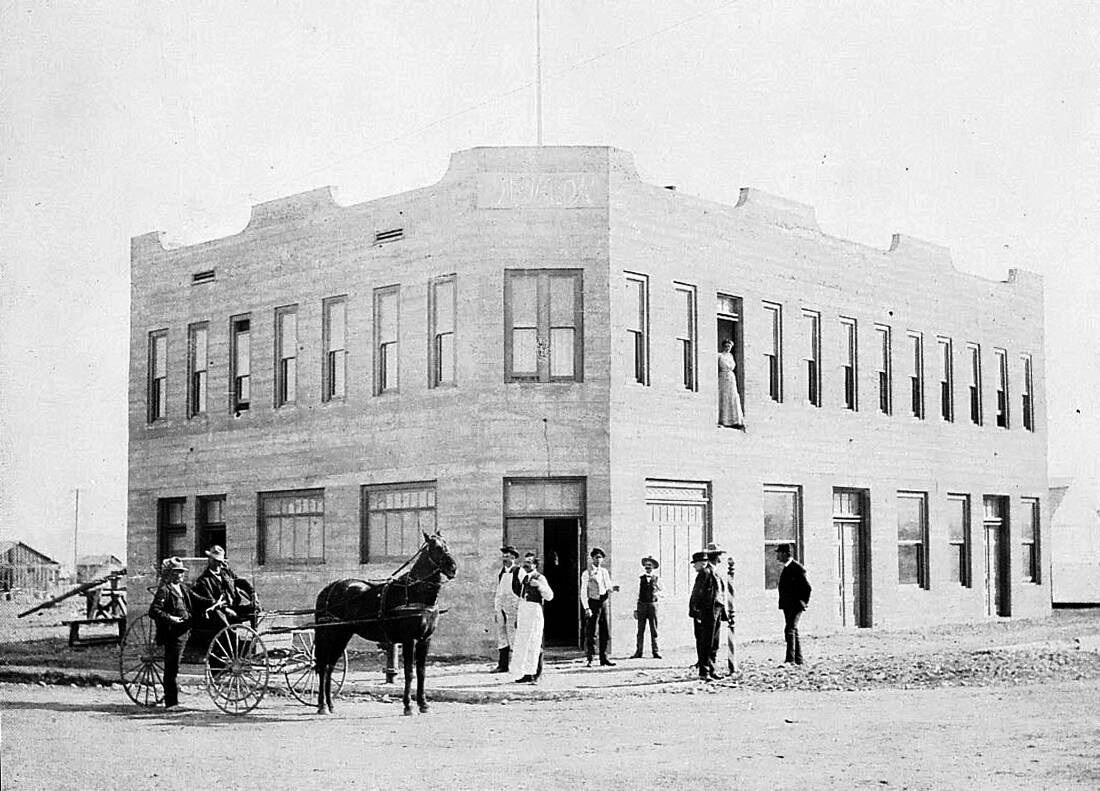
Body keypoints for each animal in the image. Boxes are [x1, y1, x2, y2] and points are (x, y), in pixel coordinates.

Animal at [314, 532, 455, 717]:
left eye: (447, 545)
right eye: (436, 547)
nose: (453, 568)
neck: (413, 592)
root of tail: (329, 588)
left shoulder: (425, 639)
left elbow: (421, 672)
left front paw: (423, 704)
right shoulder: (409, 639)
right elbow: (409, 672)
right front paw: (408, 706)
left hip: (343, 635)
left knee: (330, 666)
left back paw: (330, 705)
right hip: (329, 634)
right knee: (323, 665)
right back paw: (322, 706)